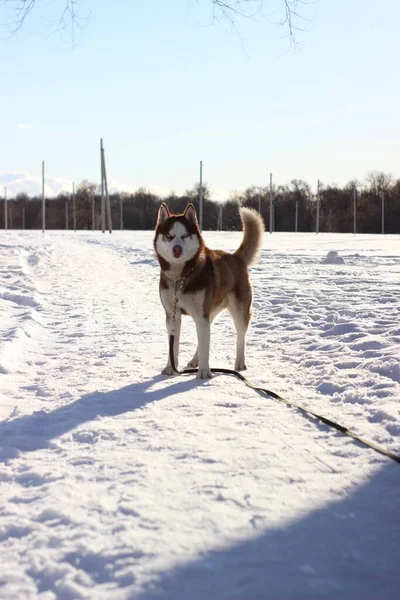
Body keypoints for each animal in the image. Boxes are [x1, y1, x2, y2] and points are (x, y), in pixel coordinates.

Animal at [155, 204, 264, 378]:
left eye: (185, 235)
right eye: (169, 236)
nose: (177, 249)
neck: (180, 278)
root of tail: (235, 257)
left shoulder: (201, 315)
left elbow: (206, 347)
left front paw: (205, 372)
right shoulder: (172, 314)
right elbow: (174, 346)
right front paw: (170, 367)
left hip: (239, 312)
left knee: (240, 337)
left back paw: (239, 362)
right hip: (209, 312)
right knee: (203, 338)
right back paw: (195, 361)